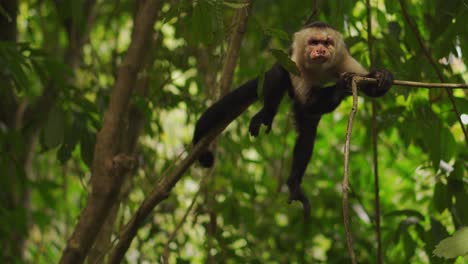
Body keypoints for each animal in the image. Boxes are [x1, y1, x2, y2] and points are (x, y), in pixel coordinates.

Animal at [192, 22, 394, 217]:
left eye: (327, 43)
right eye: (314, 42)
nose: (321, 50)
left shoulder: (343, 60)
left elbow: (370, 88)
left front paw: (382, 75)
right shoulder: (295, 63)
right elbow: (307, 100)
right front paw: (340, 86)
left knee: (307, 132)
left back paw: (294, 183)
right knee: (279, 74)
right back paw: (267, 113)